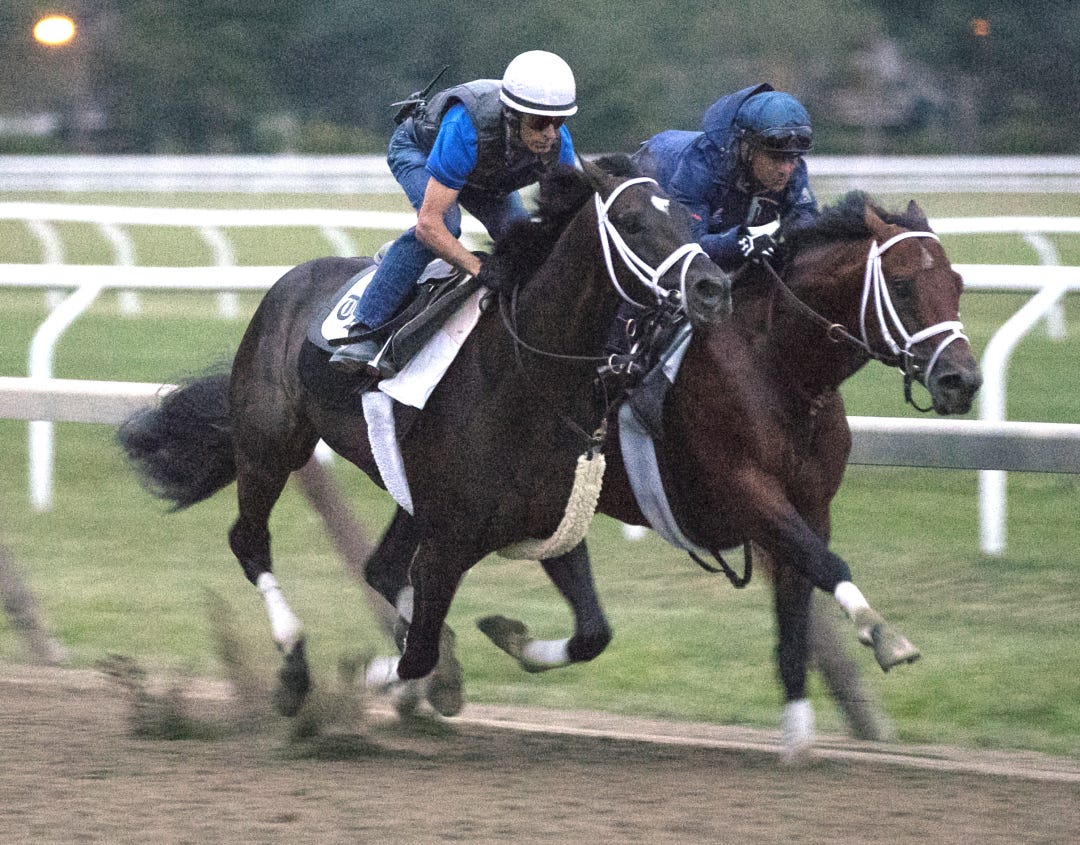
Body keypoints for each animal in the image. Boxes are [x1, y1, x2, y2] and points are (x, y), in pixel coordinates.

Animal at [118, 156, 733, 717]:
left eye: (688, 215)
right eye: (631, 220)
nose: (712, 287)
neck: (524, 379)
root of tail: (289, 283)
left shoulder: (551, 526)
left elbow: (592, 634)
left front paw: (504, 637)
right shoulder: (447, 544)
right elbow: (419, 655)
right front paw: (378, 677)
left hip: (402, 491)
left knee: (380, 567)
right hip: (270, 447)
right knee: (250, 541)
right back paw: (294, 667)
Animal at [359, 190, 983, 757]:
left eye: (956, 284)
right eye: (902, 284)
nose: (962, 380)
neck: (778, 368)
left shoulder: (810, 506)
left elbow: (797, 611)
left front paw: (798, 736)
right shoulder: (745, 487)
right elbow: (825, 563)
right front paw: (884, 635)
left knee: (392, 571)